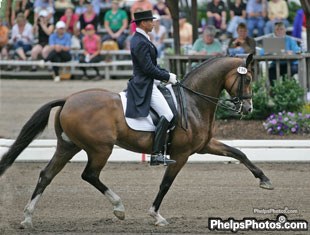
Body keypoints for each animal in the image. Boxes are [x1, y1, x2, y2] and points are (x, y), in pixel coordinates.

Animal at [0, 53, 272, 228]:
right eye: (248, 79)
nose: (248, 108)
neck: (193, 101)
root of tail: (68, 99)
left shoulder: (204, 146)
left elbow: (238, 153)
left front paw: (264, 180)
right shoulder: (181, 154)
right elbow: (165, 184)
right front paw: (156, 216)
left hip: (68, 146)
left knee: (46, 175)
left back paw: (27, 218)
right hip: (100, 149)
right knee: (90, 175)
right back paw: (119, 208)